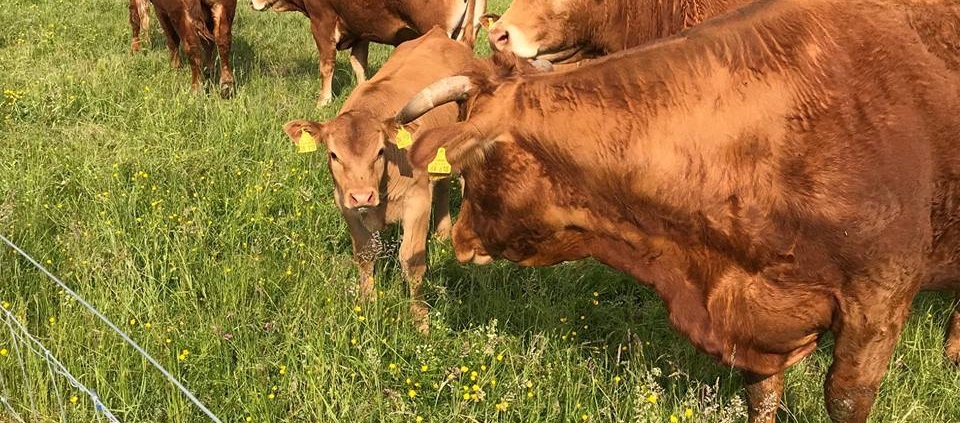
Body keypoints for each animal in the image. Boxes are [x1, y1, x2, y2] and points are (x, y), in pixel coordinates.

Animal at [249, 0, 484, 107]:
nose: (252, 3)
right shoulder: (360, 30)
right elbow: (358, 64)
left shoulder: (322, 22)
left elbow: (326, 66)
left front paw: (323, 101)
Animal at [278, 28, 488, 336]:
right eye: (333, 154)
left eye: (379, 151)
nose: (362, 196)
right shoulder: (345, 205)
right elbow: (364, 254)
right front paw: (366, 304)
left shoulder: (416, 202)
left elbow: (412, 260)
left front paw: (421, 321)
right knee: (440, 186)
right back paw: (441, 232)